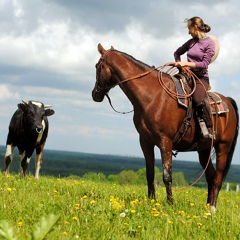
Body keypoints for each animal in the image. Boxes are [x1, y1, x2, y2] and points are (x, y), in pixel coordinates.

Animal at [91, 43, 238, 210]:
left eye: (97, 66)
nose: (95, 94)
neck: (153, 96)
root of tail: (229, 102)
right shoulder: (145, 142)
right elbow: (150, 173)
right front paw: (151, 201)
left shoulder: (165, 141)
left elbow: (167, 175)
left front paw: (170, 203)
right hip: (204, 150)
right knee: (211, 176)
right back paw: (207, 207)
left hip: (223, 147)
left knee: (218, 177)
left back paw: (213, 208)